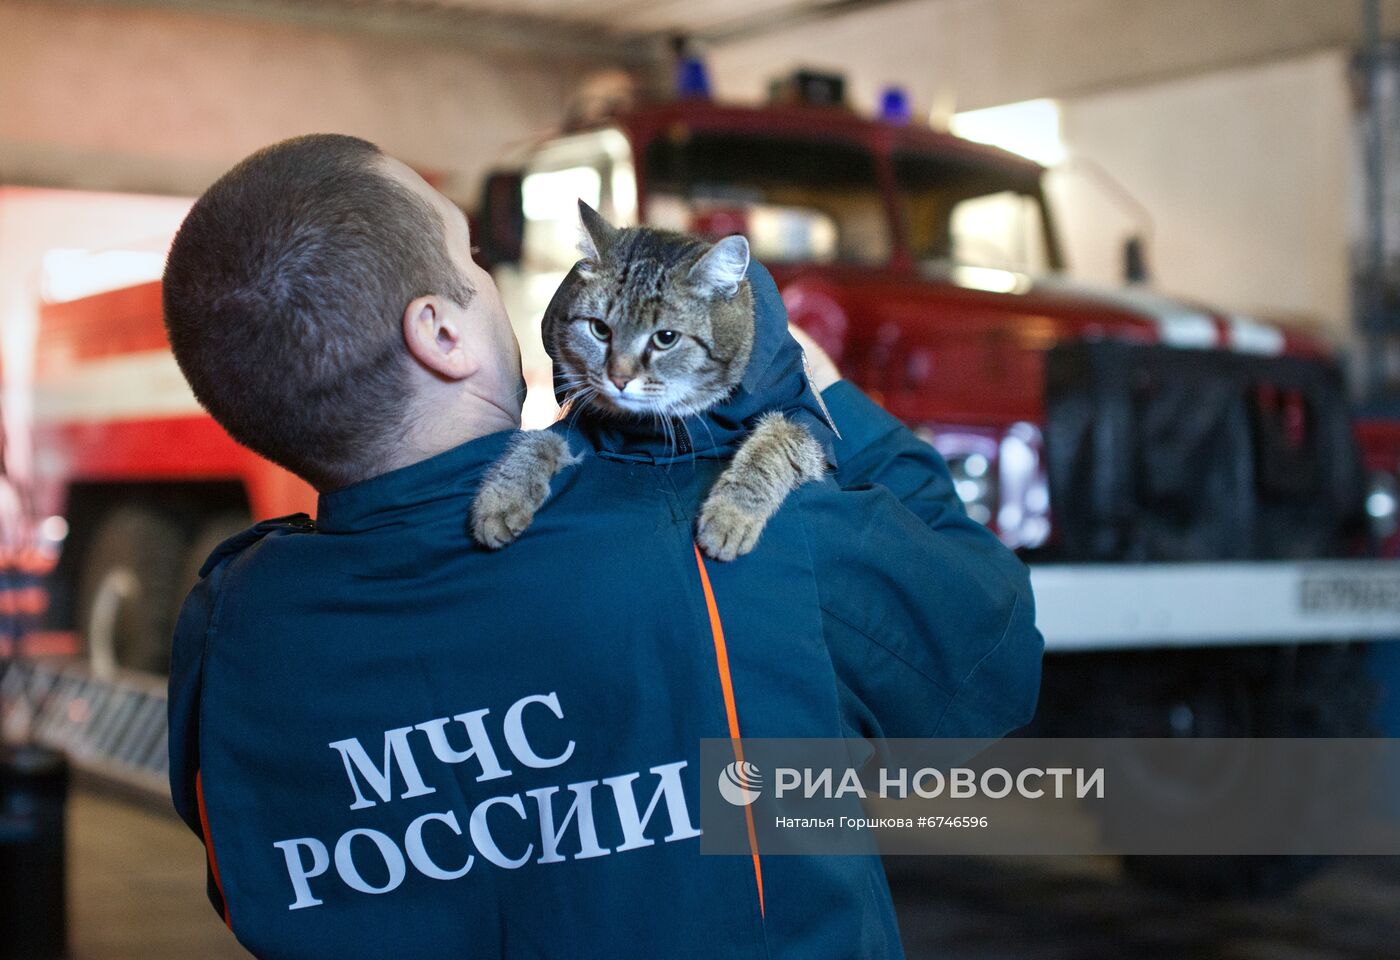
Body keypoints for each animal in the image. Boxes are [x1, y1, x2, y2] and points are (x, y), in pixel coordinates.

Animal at [470, 204, 823, 565]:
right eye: (599, 329)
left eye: (666, 338)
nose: (619, 378)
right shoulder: (581, 424)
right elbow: (537, 441)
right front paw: (504, 495)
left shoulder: (806, 424)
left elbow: (769, 449)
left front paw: (730, 515)